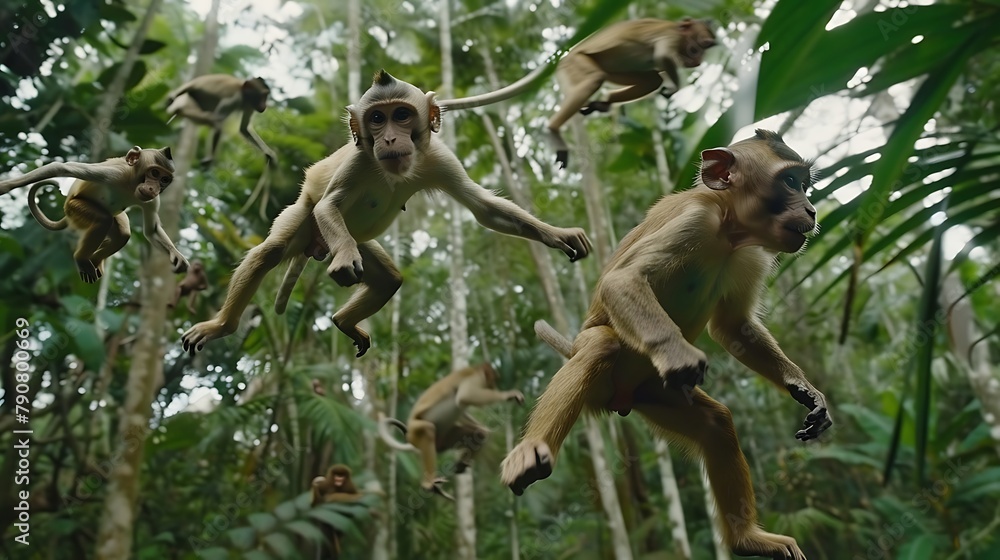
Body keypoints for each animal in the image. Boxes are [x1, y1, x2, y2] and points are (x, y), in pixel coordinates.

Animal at [0, 146, 188, 283]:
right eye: (155, 172)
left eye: (164, 179)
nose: (153, 188)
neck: (130, 183)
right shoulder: (111, 175)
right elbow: (61, 167)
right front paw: (5, 186)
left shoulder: (152, 200)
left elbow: (151, 230)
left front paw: (177, 256)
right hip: (75, 208)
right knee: (103, 220)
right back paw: (82, 258)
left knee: (122, 233)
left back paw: (96, 260)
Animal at [180, 70, 591, 357]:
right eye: (378, 119)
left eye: (402, 115)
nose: (391, 138)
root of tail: (317, 246)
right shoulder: (361, 159)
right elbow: (330, 203)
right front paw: (345, 259)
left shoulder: (437, 157)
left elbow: (483, 208)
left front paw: (558, 235)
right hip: (305, 220)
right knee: (271, 251)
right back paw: (222, 326)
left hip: (354, 241)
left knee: (390, 279)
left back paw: (344, 322)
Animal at [378, 363, 524, 500]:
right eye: (494, 378)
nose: (494, 386)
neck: (476, 370)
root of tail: (409, 437)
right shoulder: (476, 378)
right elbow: (465, 396)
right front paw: (508, 394)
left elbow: (464, 410)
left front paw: (482, 428)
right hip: (415, 430)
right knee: (428, 430)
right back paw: (429, 483)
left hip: (444, 437)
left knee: (476, 435)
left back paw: (461, 464)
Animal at [437, 18, 716, 168]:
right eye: (698, 48)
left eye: (705, 49)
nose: (698, 61)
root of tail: (565, 56)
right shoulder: (670, 39)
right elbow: (662, 56)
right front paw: (676, 86)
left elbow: (658, 69)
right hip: (576, 65)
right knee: (594, 78)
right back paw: (553, 129)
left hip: (602, 67)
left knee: (649, 78)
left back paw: (605, 104)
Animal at [500, 130, 832, 560]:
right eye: (790, 182)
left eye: (803, 185)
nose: (811, 210)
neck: (729, 232)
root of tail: (620, 399)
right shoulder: (694, 222)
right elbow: (621, 282)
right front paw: (678, 354)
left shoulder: (751, 254)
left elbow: (734, 328)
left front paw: (803, 389)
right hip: (609, 378)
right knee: (600, 344)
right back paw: (532, 449)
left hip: (652, 394)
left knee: (716, 424)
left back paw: (746, 539)